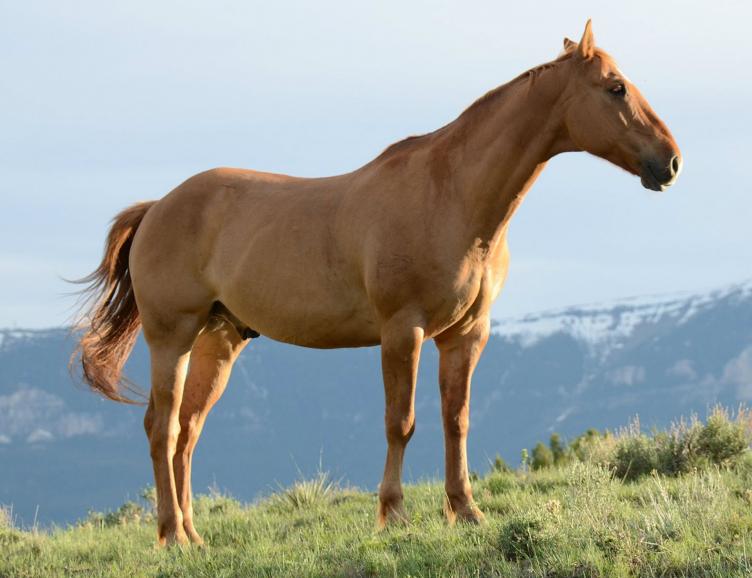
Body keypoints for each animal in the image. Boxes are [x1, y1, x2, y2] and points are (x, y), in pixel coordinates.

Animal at [72, 21, 680, 544]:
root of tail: (157, 207)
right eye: (616, 88)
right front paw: (393, 515)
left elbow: (456, 420)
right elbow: (401, 423)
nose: (670, 162)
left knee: (188, 431)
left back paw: (193, 536)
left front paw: (466, 511)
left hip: (218, 341)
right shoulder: (402, 331)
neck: (452, 196)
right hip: (171, 336)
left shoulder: (466, 335)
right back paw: (172, 535)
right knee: (163, 428)